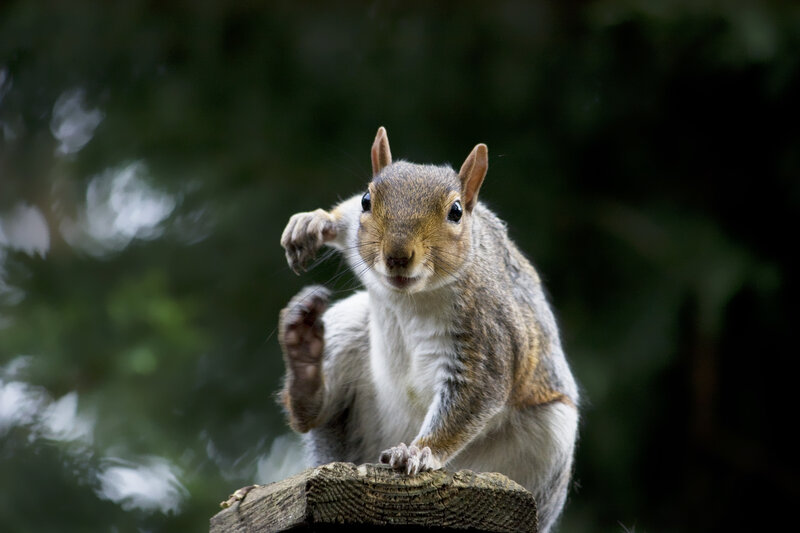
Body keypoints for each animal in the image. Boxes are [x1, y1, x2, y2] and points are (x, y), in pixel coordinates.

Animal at [278, 127, 579, 533]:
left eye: (456, 211)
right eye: (367, 199)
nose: (397, 255)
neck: (410, 297)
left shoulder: (488, 335)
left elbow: (471, 398)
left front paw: (420, 452)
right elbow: (343, 218)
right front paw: (312, 223)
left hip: (544, 443)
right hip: (349, 336)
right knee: (312, 414)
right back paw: (304, 359)